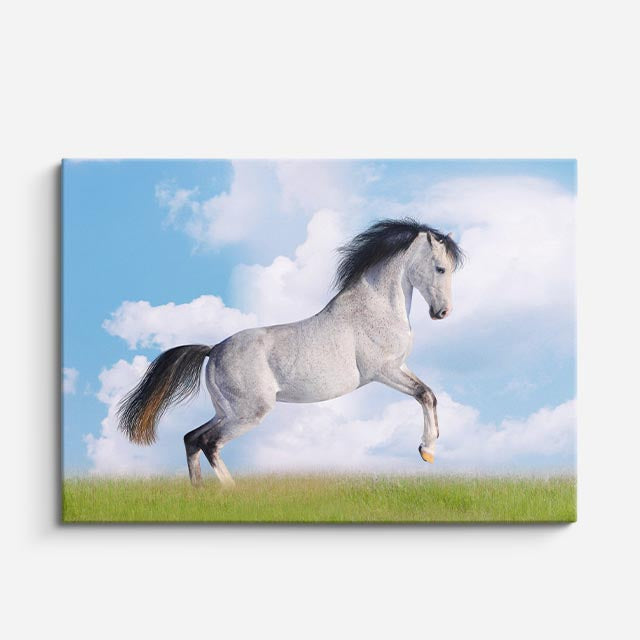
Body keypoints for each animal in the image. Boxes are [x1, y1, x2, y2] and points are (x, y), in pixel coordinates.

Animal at [118, 218, 464, 485]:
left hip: (227, 411)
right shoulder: (383, 371)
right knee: (208, 442)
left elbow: (430, 395)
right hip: (248, 413)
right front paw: (426, 450)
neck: (376, 307)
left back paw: (199, 492)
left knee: (191, 437)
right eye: (440, 268)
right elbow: (423, 395)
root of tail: (213, 350)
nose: (442, 312)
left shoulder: (399, 368)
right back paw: (231, 493)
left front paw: (428, 451)